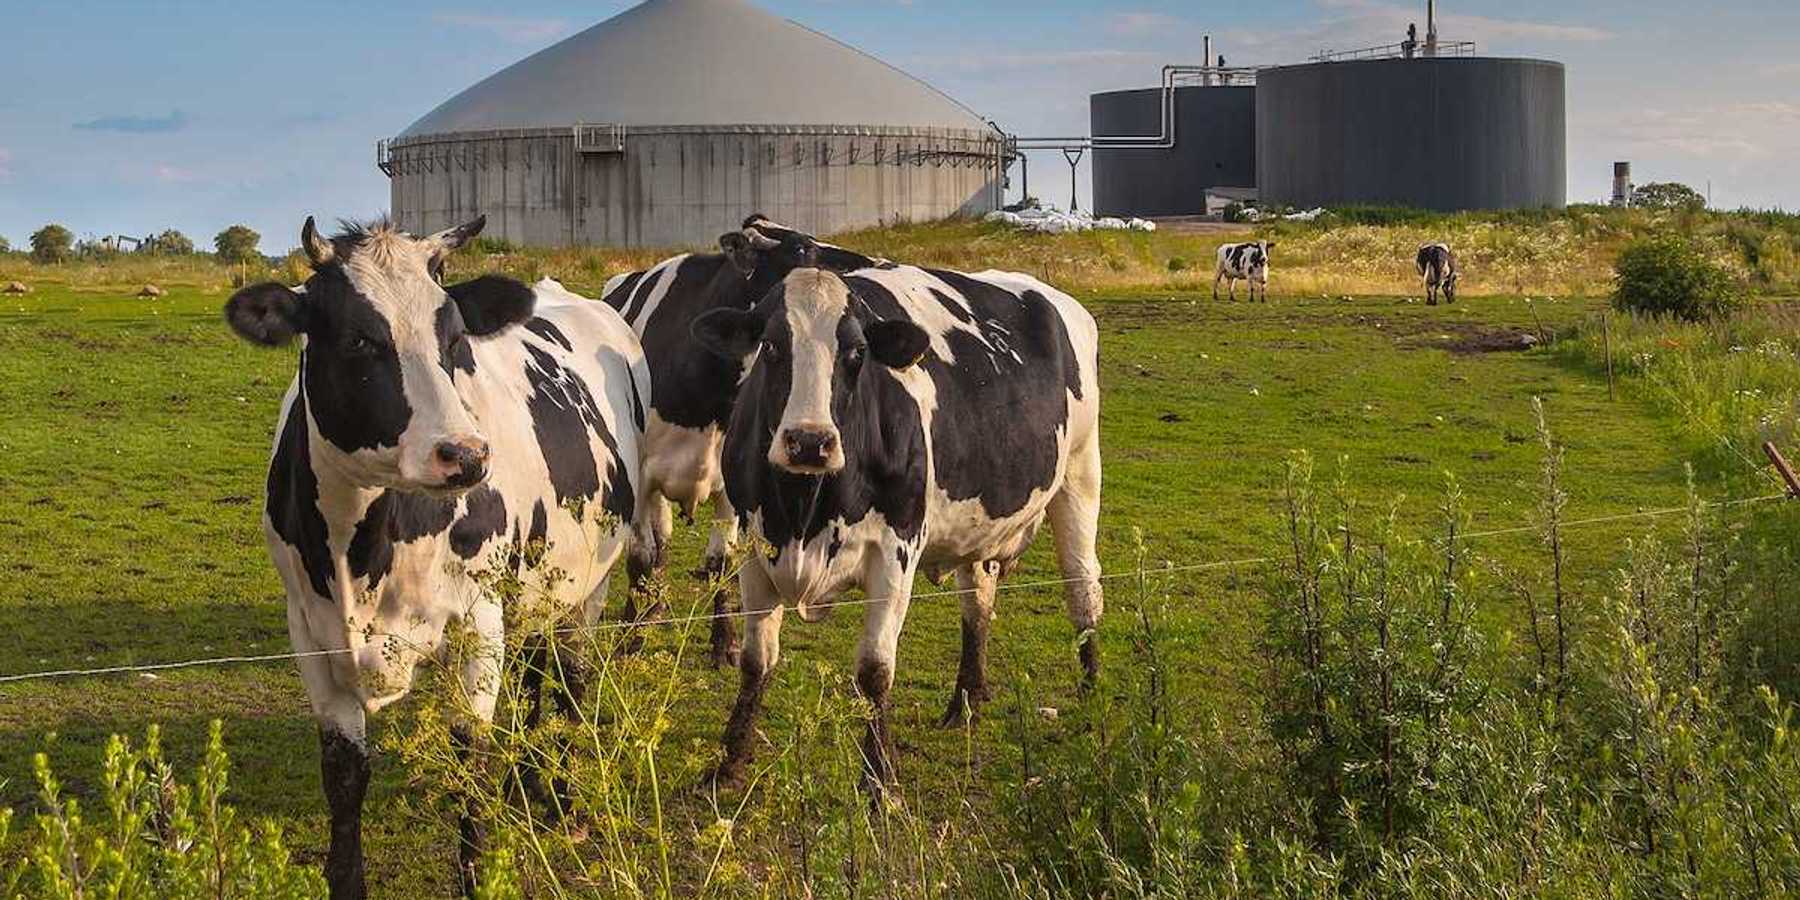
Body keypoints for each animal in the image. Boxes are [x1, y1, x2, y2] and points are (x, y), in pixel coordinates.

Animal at [224, 216, 649, 900]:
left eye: (454, 339)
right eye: (359, 339)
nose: (466, 455)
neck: (361, 551)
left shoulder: (478, 623)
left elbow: (468, 762)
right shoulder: (309, 633)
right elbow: (344, 776)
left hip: (590, 581)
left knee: (571, 678)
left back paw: (561, 796)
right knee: (536, 668)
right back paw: (529, 778)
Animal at [601, 215, 883, 666]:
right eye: (802, 248)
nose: (871, 264)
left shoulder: (731, 484)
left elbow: (722, 562)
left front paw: (725, 642)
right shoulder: (641, 477)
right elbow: (642, 556)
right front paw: (632, 637)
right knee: (656, 545)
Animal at [690, 246, 1104, 789]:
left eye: (856, 354)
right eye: (773, 347)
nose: (809, 442)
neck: (806, 510)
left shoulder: (895, 550)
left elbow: (874, 670)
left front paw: (879, 777)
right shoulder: (758, 549)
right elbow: (756, 663)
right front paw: (729, 764)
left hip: (1080, 473)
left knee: (1083, 587)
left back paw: (1092, 697)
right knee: (978, 602)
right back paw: (965, 703)